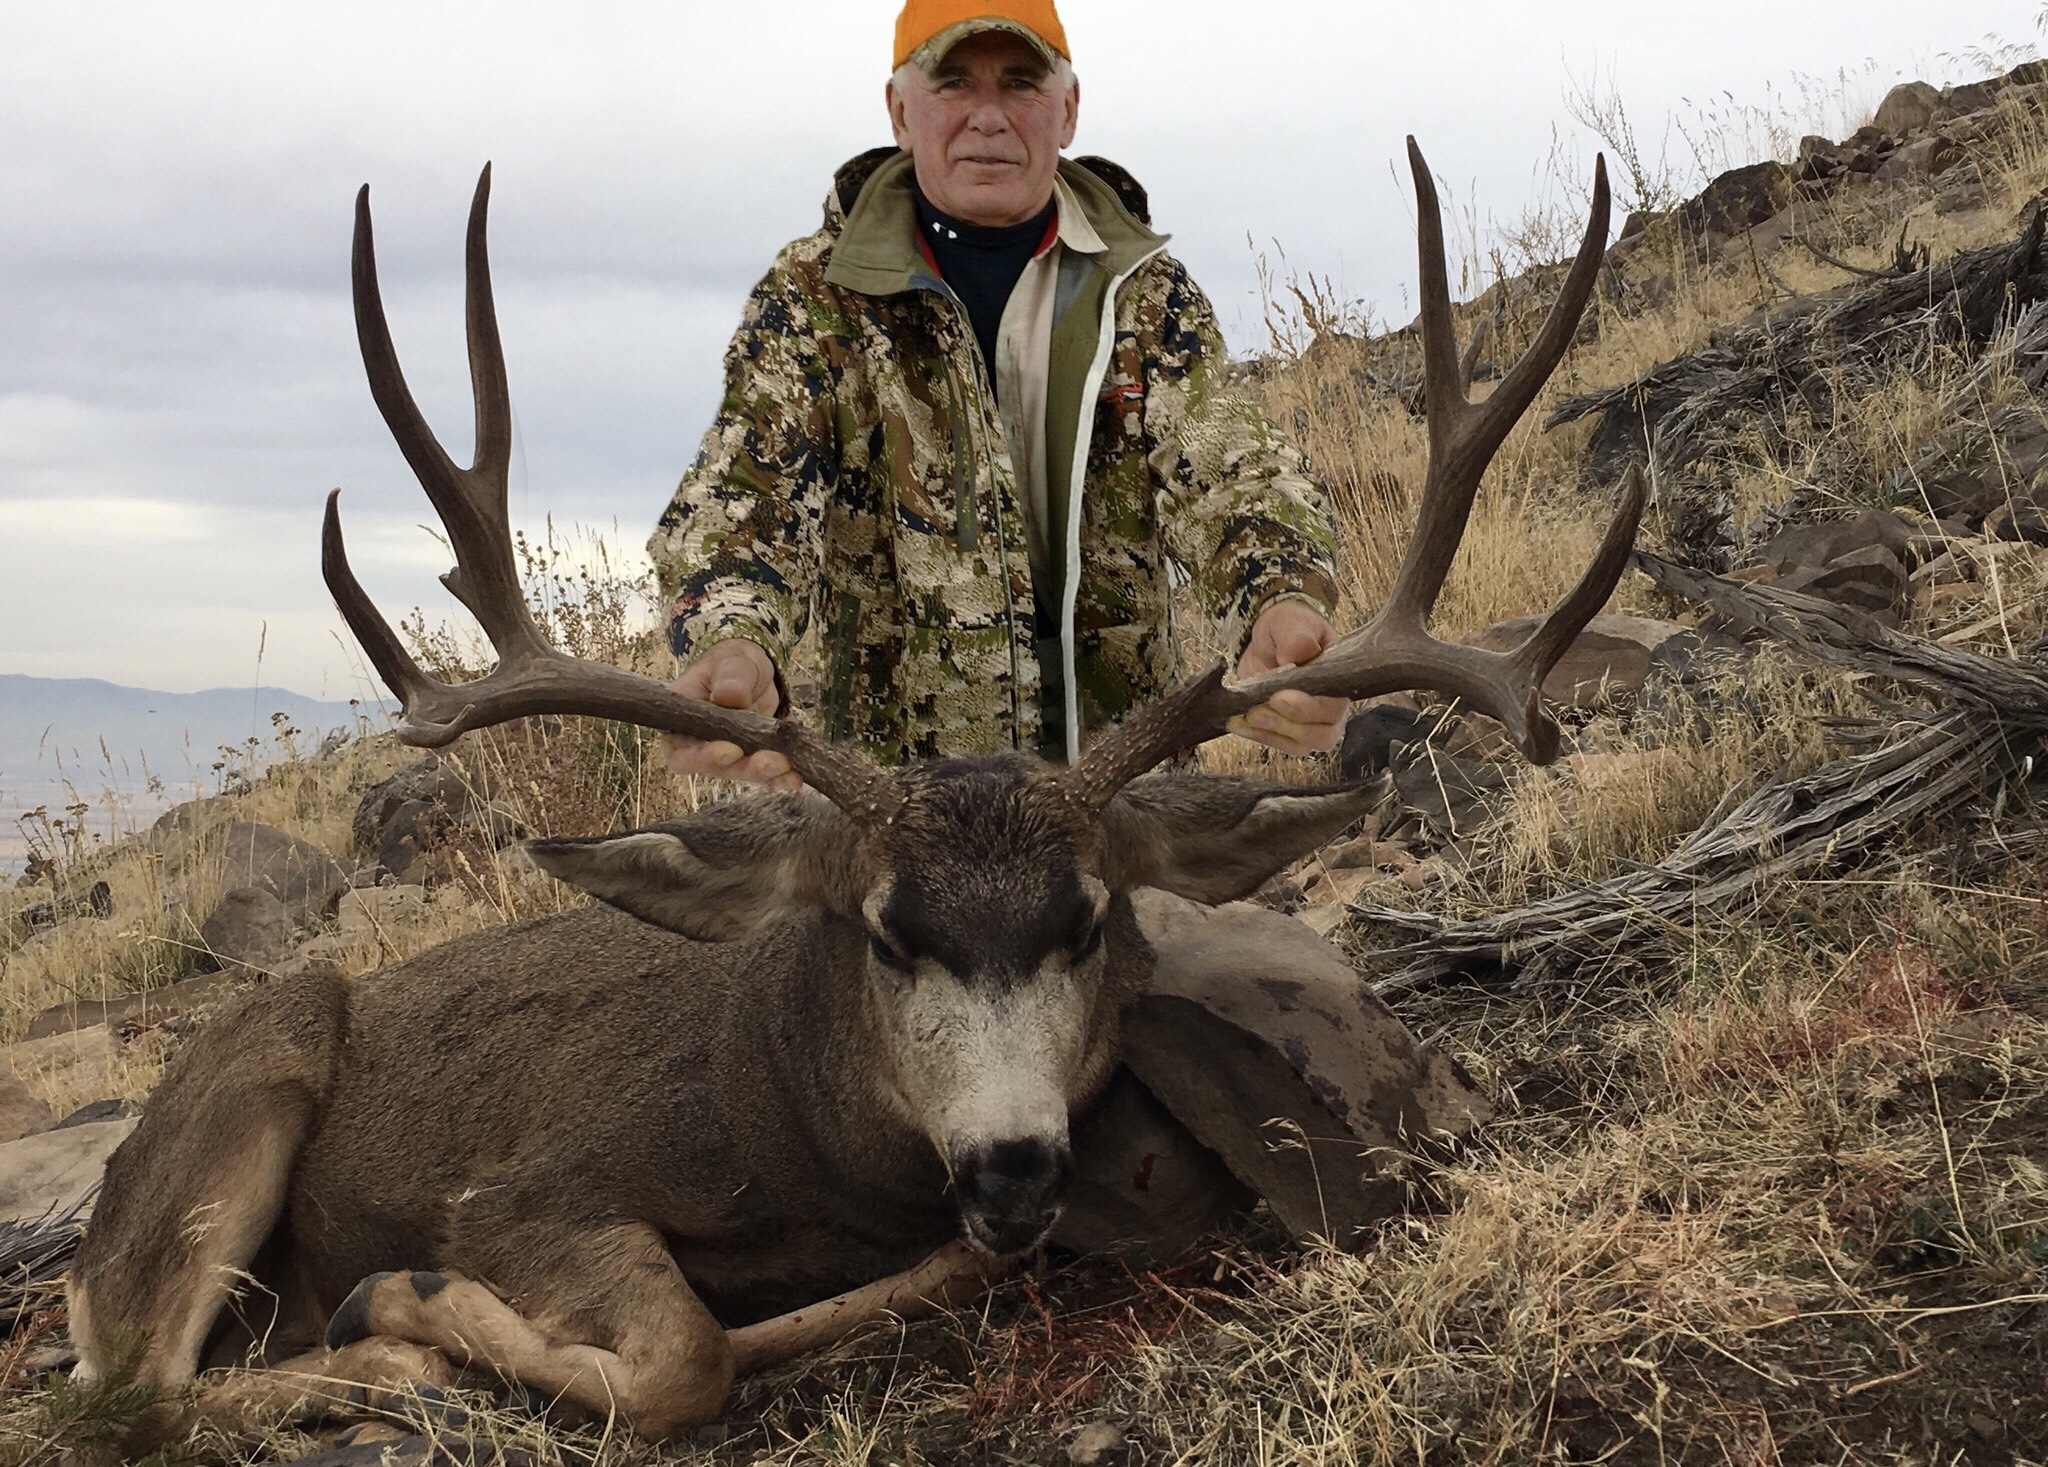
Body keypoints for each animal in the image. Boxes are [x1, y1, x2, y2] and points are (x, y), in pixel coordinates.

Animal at [66, 142, 1643, 1448]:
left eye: (1088, 923)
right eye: (888, 933)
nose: (1010, 1162)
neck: (796, 1123)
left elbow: (904, 1281)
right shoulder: (516, 1189)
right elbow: (683, 1356)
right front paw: (415, 1305)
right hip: (245, 1090)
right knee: (135, 1389)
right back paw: (381, 1357)